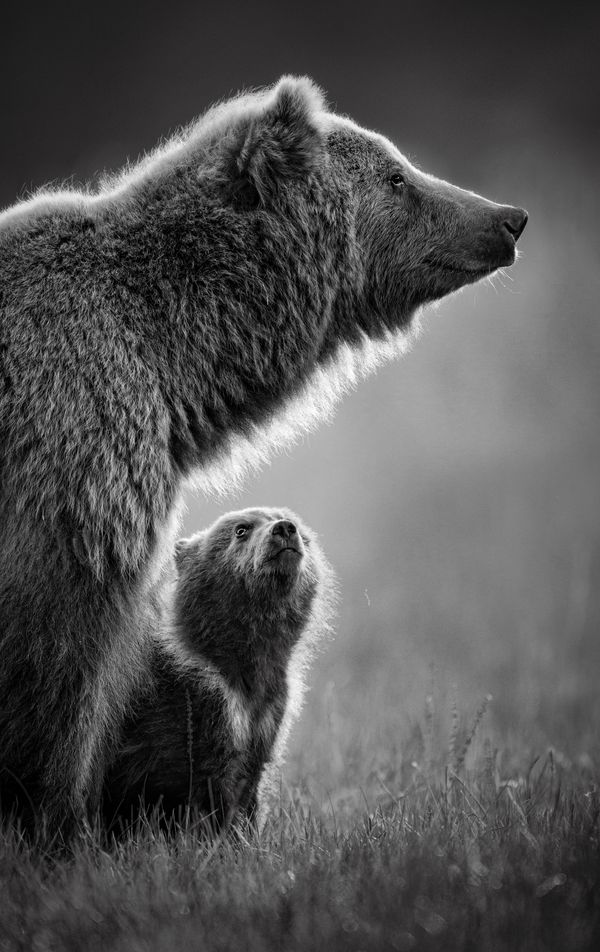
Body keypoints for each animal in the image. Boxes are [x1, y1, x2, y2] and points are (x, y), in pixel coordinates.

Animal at [102, 506, 333, 836]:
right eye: (241, 529)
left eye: (298, 527)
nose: (284, 529)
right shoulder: (202, 705)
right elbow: (207, 787)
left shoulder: (268, 712)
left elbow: (249, 784)